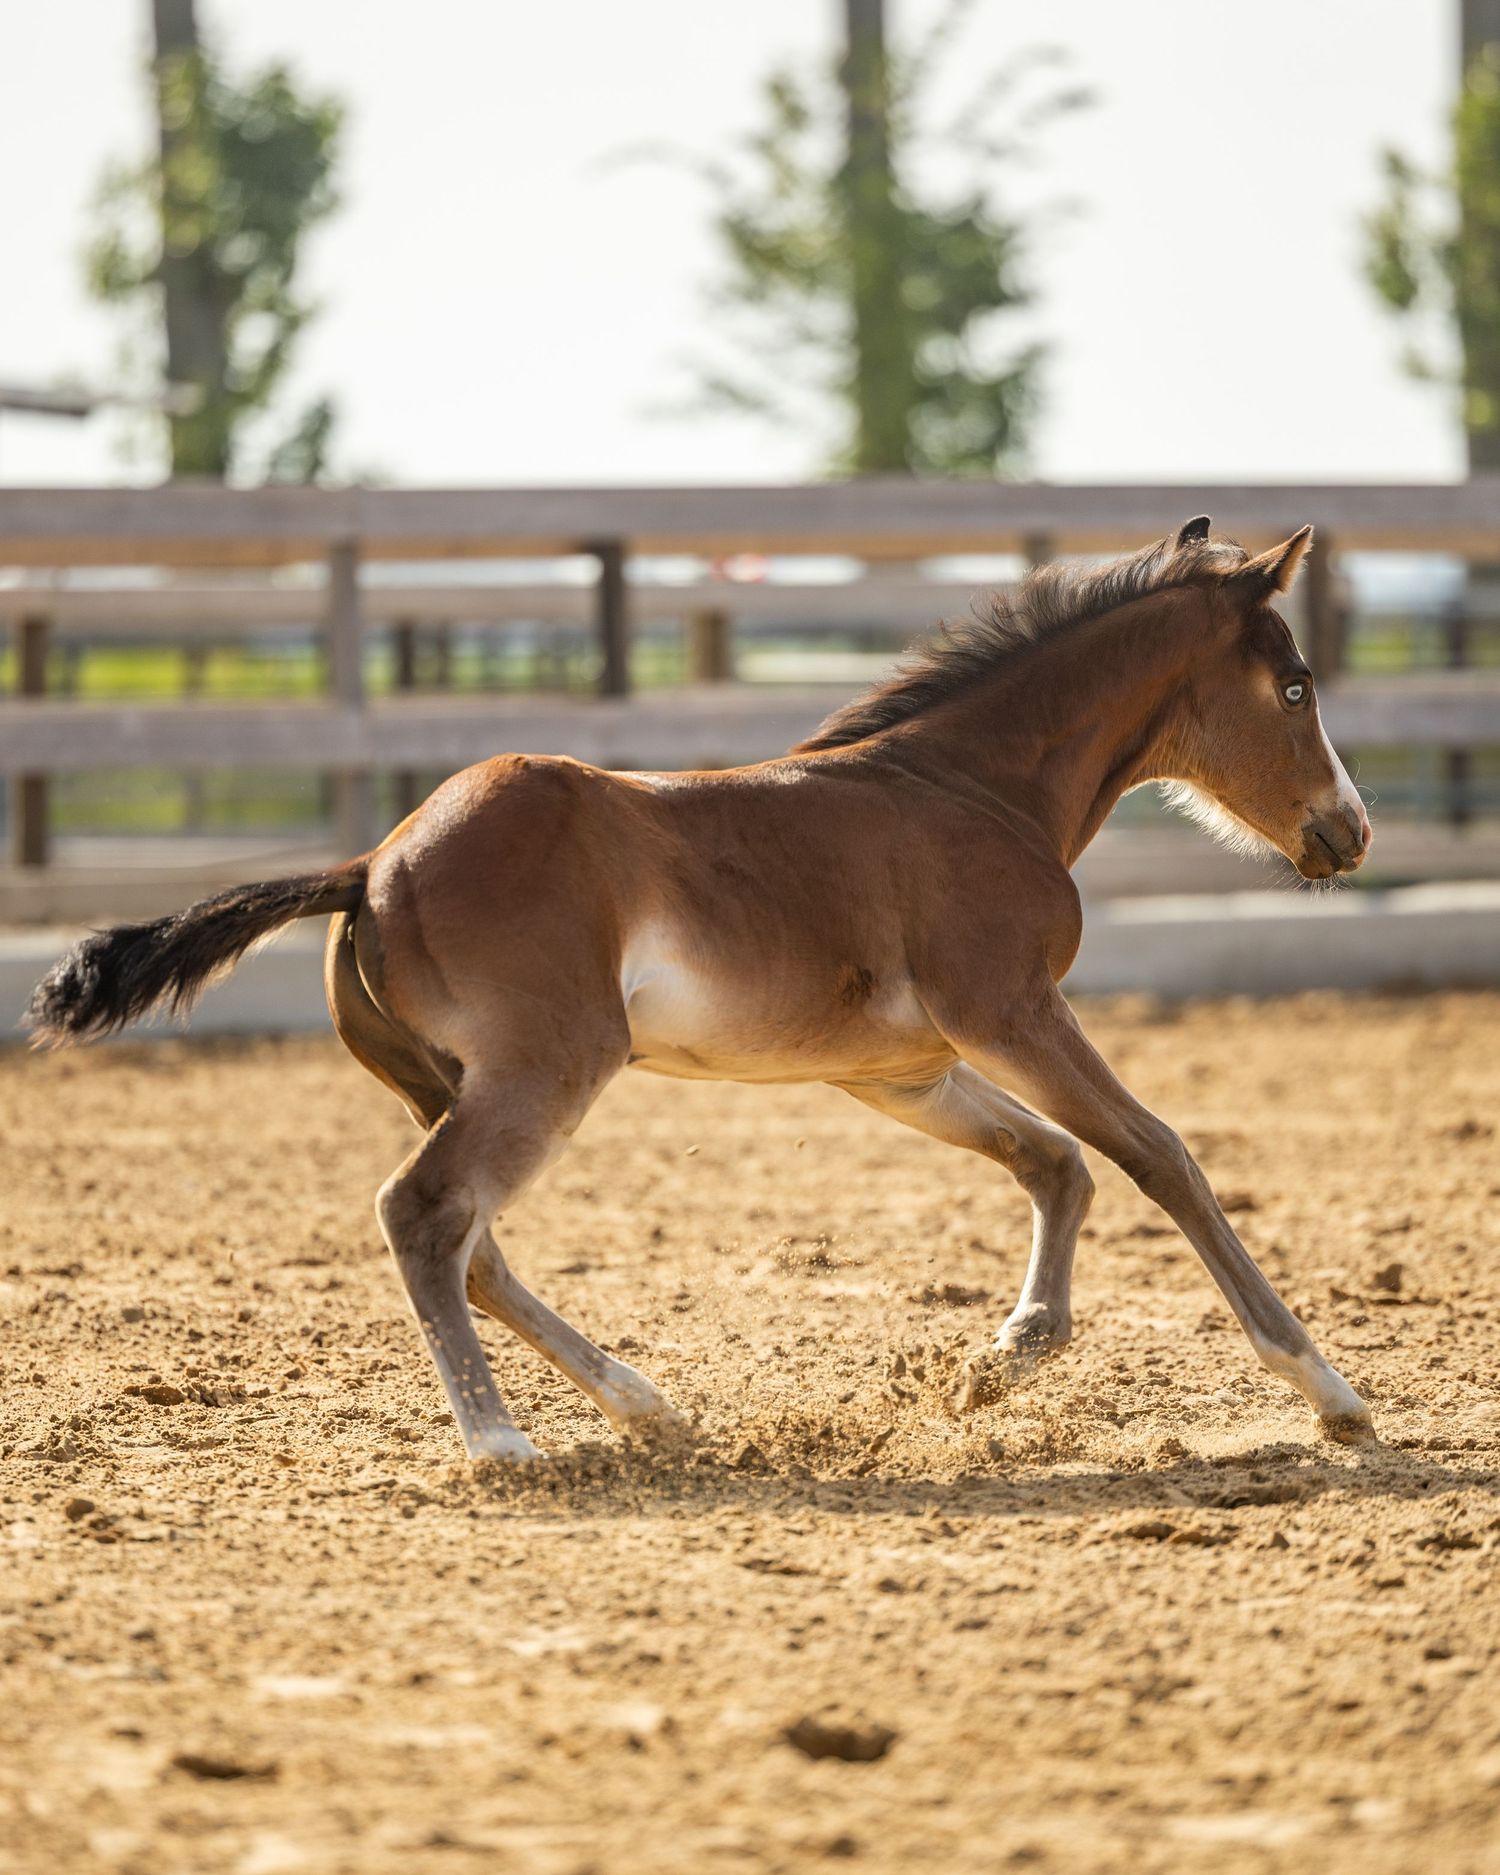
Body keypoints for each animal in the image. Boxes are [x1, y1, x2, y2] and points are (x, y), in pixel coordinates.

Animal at [27, 517, 1375, 1463]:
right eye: (1296, 687)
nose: (1348, 831)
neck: (971, 786)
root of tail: (371, 864)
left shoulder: (900, 1068)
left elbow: (1057, 1164)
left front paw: (1005, 1359)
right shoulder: (1008, 1009)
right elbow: (1158, 1155)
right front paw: (1331, 1393)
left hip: (451, 1082)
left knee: (474, 1245)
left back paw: (650, 1410)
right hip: (547, 1070)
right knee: (425, 1214)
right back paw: (501, 1442)